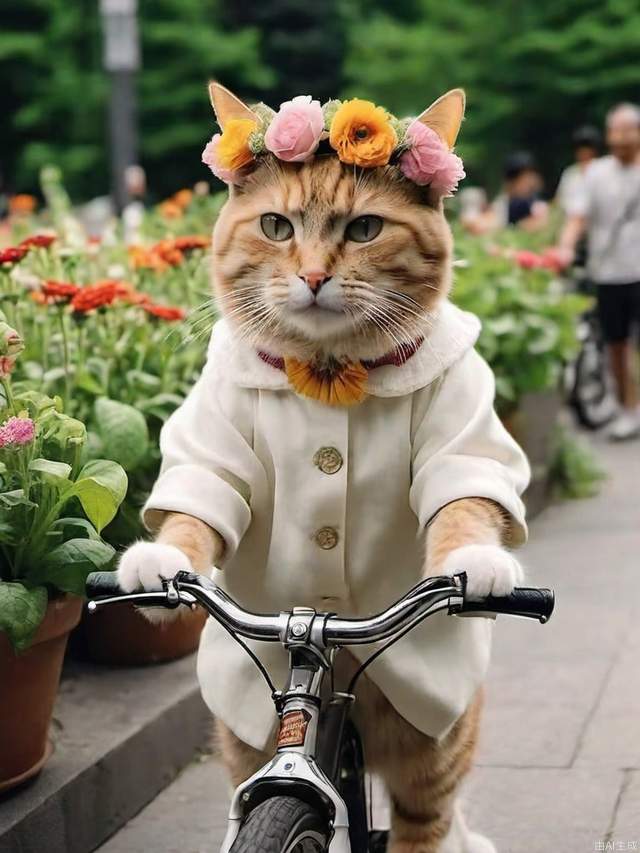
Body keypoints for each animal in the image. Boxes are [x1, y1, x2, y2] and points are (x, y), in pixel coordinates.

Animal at [117, 81, 528, 852]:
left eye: (365, 229)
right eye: (276, 226)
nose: (311, 276)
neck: (329, 371)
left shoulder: (462, 435)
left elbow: (465, 502)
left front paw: (476, 567)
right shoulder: (214, 443)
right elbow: (196, 508)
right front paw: (157, 565)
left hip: (431, 749)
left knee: (426, 823)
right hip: (245, 735)